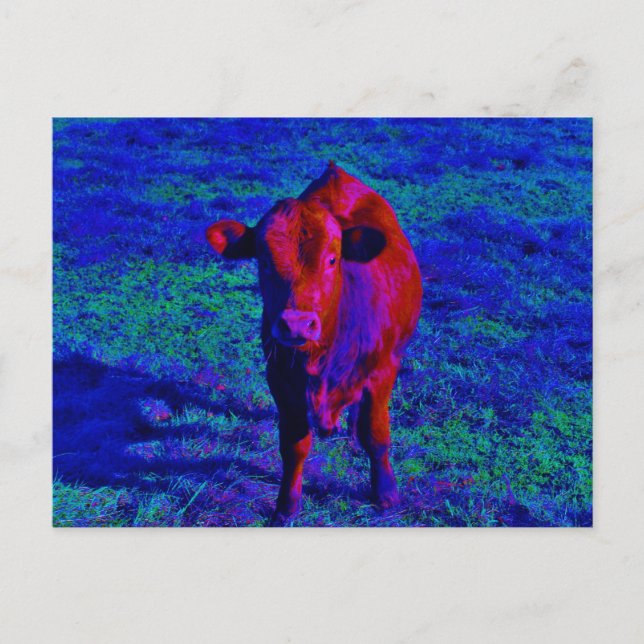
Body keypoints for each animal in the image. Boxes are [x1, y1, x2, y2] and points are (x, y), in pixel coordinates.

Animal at [206, 162, 422, 525]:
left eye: (333, 259)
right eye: (263, 260)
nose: (296, 323)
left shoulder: (382, 372)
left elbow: (376, 434)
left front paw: (386, 494)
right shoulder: (281, 377)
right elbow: (294, 443)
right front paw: (286, 506)